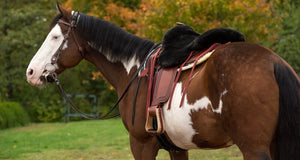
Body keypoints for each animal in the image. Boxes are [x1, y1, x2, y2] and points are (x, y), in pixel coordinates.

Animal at [26, 4, 300, 160]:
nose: (31, 72)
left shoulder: (141, 145)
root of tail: (273, 61)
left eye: (55, 37)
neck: (133, 69)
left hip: (254, 149)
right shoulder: (177, 148)